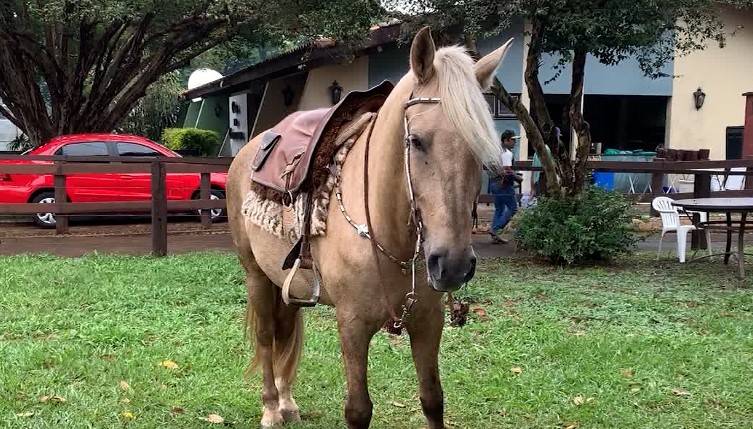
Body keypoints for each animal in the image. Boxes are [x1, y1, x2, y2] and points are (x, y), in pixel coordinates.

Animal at [226, 27, 513, 429]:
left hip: (287, 284)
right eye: (415, 140)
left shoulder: (428, 322)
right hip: (255, 276)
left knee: (285, 331)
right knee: (267, 337)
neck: (387, 230)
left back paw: (286, 402)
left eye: (479, 146)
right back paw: (270, 407)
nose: (453, 265)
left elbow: (433, 400)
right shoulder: (352, 325)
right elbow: (358, 410)